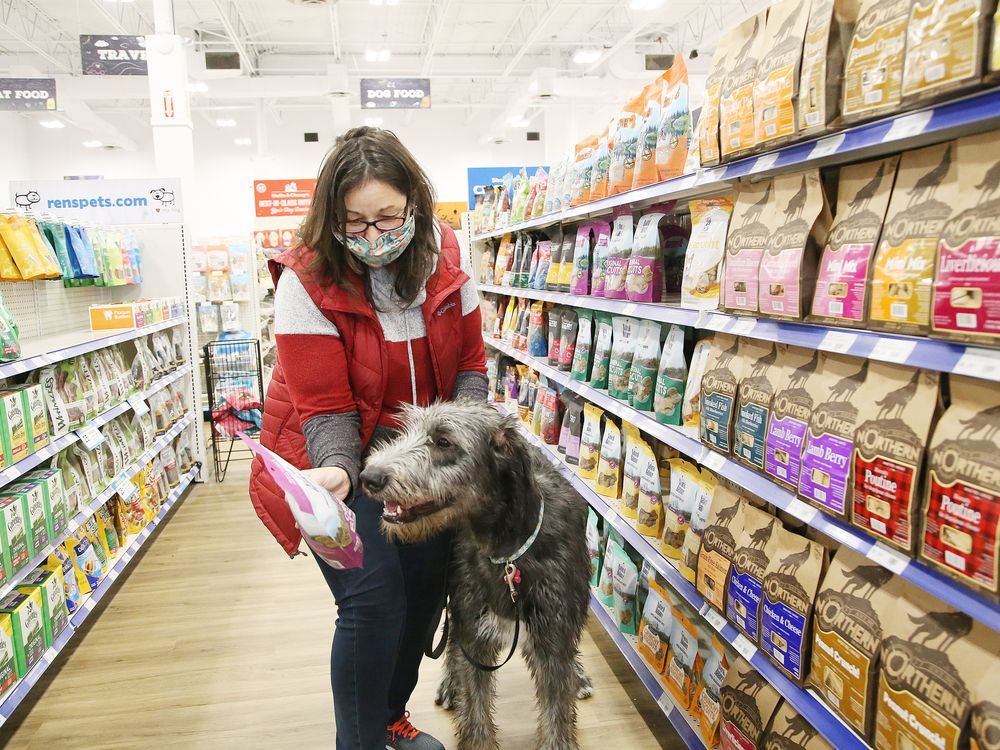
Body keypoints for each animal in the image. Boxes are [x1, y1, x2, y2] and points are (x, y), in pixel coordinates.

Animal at [362, 402, 588, 750]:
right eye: (406, 431)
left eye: (444, 442)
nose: (368, 477)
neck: (509, 553)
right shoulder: (474, 633)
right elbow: (475, 705)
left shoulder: (554, 636)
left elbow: (557, 712)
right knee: (453, 642)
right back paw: (449, 684)